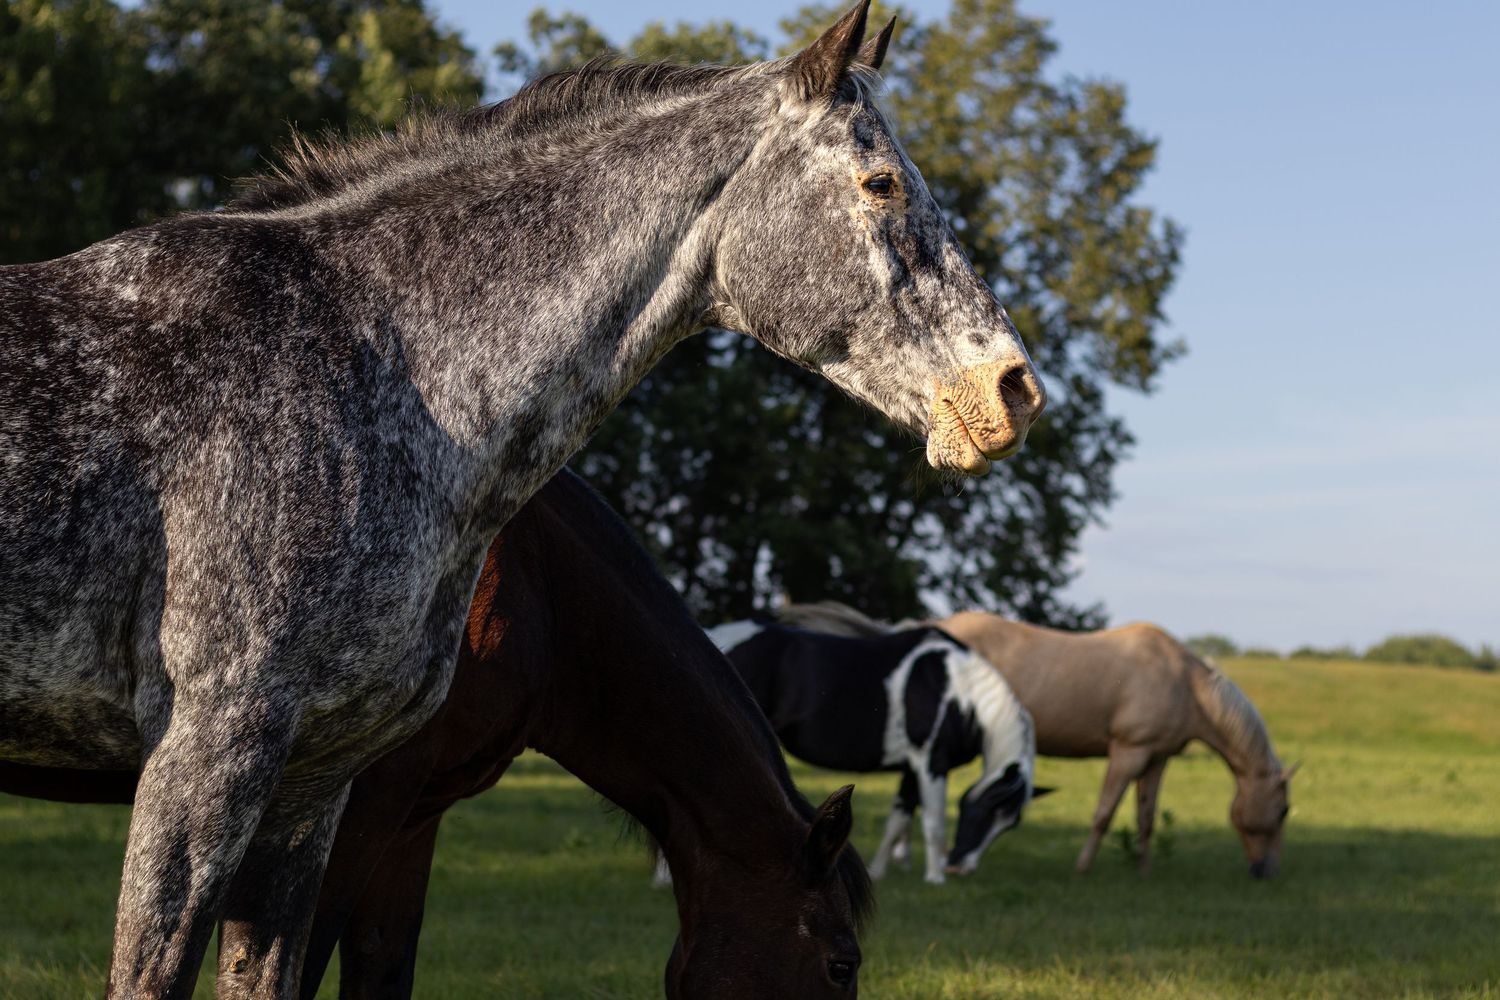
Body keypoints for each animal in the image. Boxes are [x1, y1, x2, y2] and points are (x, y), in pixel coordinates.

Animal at [704, 620, 1039, 884]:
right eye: (989, 811)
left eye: (1009, 824)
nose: (960, 868)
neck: (960, 693)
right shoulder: (932, 764)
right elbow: (933, 820)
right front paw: (935, 878)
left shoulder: (911, 770)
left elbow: (897, 820)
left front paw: (877, 872)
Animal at [779, 602, 1297, 878]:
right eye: (1284, 811)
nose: (1266, 871)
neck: (1182, 681)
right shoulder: (1127, 752)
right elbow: (1104, 813)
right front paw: (1083, 869)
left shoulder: (1156, 760)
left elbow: (1146, 818)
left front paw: (1143, 870)